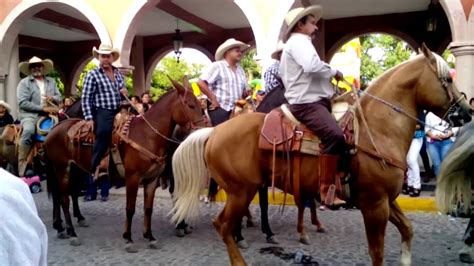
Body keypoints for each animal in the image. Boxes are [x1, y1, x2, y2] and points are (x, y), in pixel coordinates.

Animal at [44, 76, 207, 249]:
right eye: (190, 105)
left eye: (200, 105)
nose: (203, 128)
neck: (148, 135)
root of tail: (55, 127)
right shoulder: (133, 178)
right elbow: (130, 208)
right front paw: (128, 238)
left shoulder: (152, 180)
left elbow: (148, 208)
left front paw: (149, 236)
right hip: (62, 168)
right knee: (64, 198)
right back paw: (71, 232)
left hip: (75, 170)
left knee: (68, 194)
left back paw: (65, 226)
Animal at [169, 44, 470, 264]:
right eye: (446, 79)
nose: (467, 112)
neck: (376, 129)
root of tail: (213, 132)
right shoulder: (374, 205)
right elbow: (377, 252)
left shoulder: (386, 200)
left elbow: (407, 229)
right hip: (241, 191)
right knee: (223, 226)